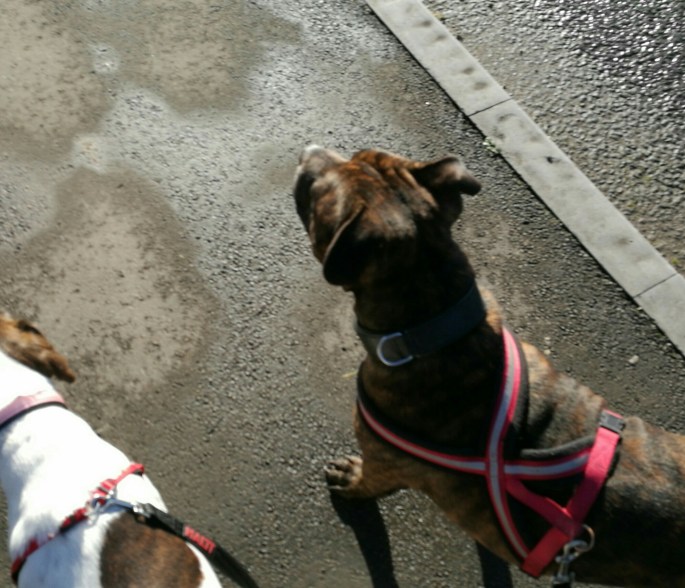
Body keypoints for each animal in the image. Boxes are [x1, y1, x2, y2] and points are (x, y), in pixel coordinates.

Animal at [294, 145, 685, 587]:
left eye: (317, 189)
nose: (310, 149)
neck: (437, 325)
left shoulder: (382, 462)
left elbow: (367, 482)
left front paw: (350, 480)